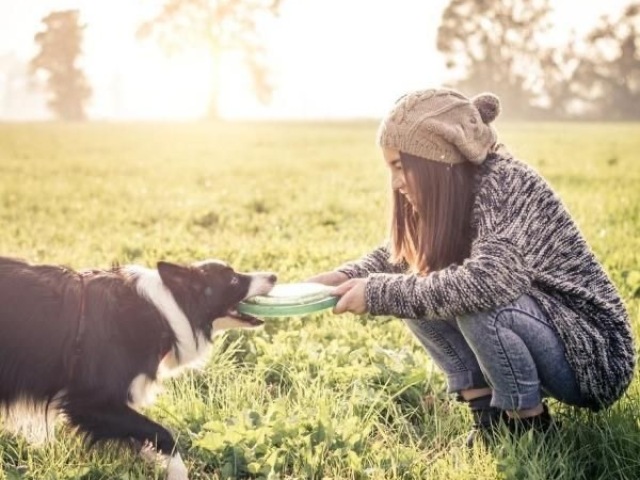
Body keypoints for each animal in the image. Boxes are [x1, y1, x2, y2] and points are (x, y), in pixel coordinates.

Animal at [0, 256, 276, 478]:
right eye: (233, 280)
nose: (273, 276)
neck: (166, 310)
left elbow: (146, 438)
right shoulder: (88, 402)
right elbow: (163, 435)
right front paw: (178, 473)